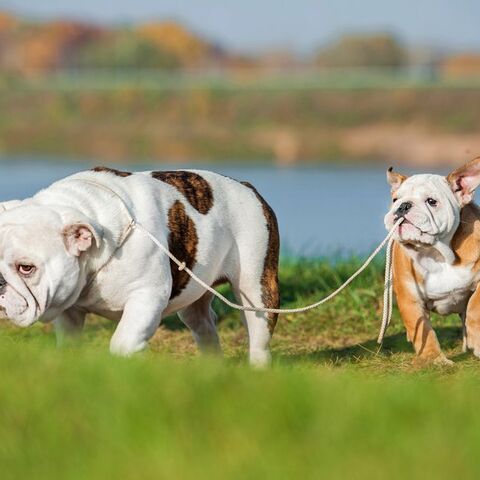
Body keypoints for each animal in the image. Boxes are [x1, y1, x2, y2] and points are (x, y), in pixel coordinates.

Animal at [0, 167, 282, 366]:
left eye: (26, 268)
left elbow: (123, 340)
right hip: (194, 298)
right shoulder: (68, 307)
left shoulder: (147, 295)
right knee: (205, 326)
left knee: (258, 336)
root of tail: (247, 187)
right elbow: (69, 341)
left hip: (256, 289)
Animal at [384, 157, 480, 364]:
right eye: (395, 200)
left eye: (431, 201)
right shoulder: (410, 297)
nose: (403, 206)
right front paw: (434, 360)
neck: (437, 254)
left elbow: (475, 305)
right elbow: (422, 330)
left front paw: (476, 340)